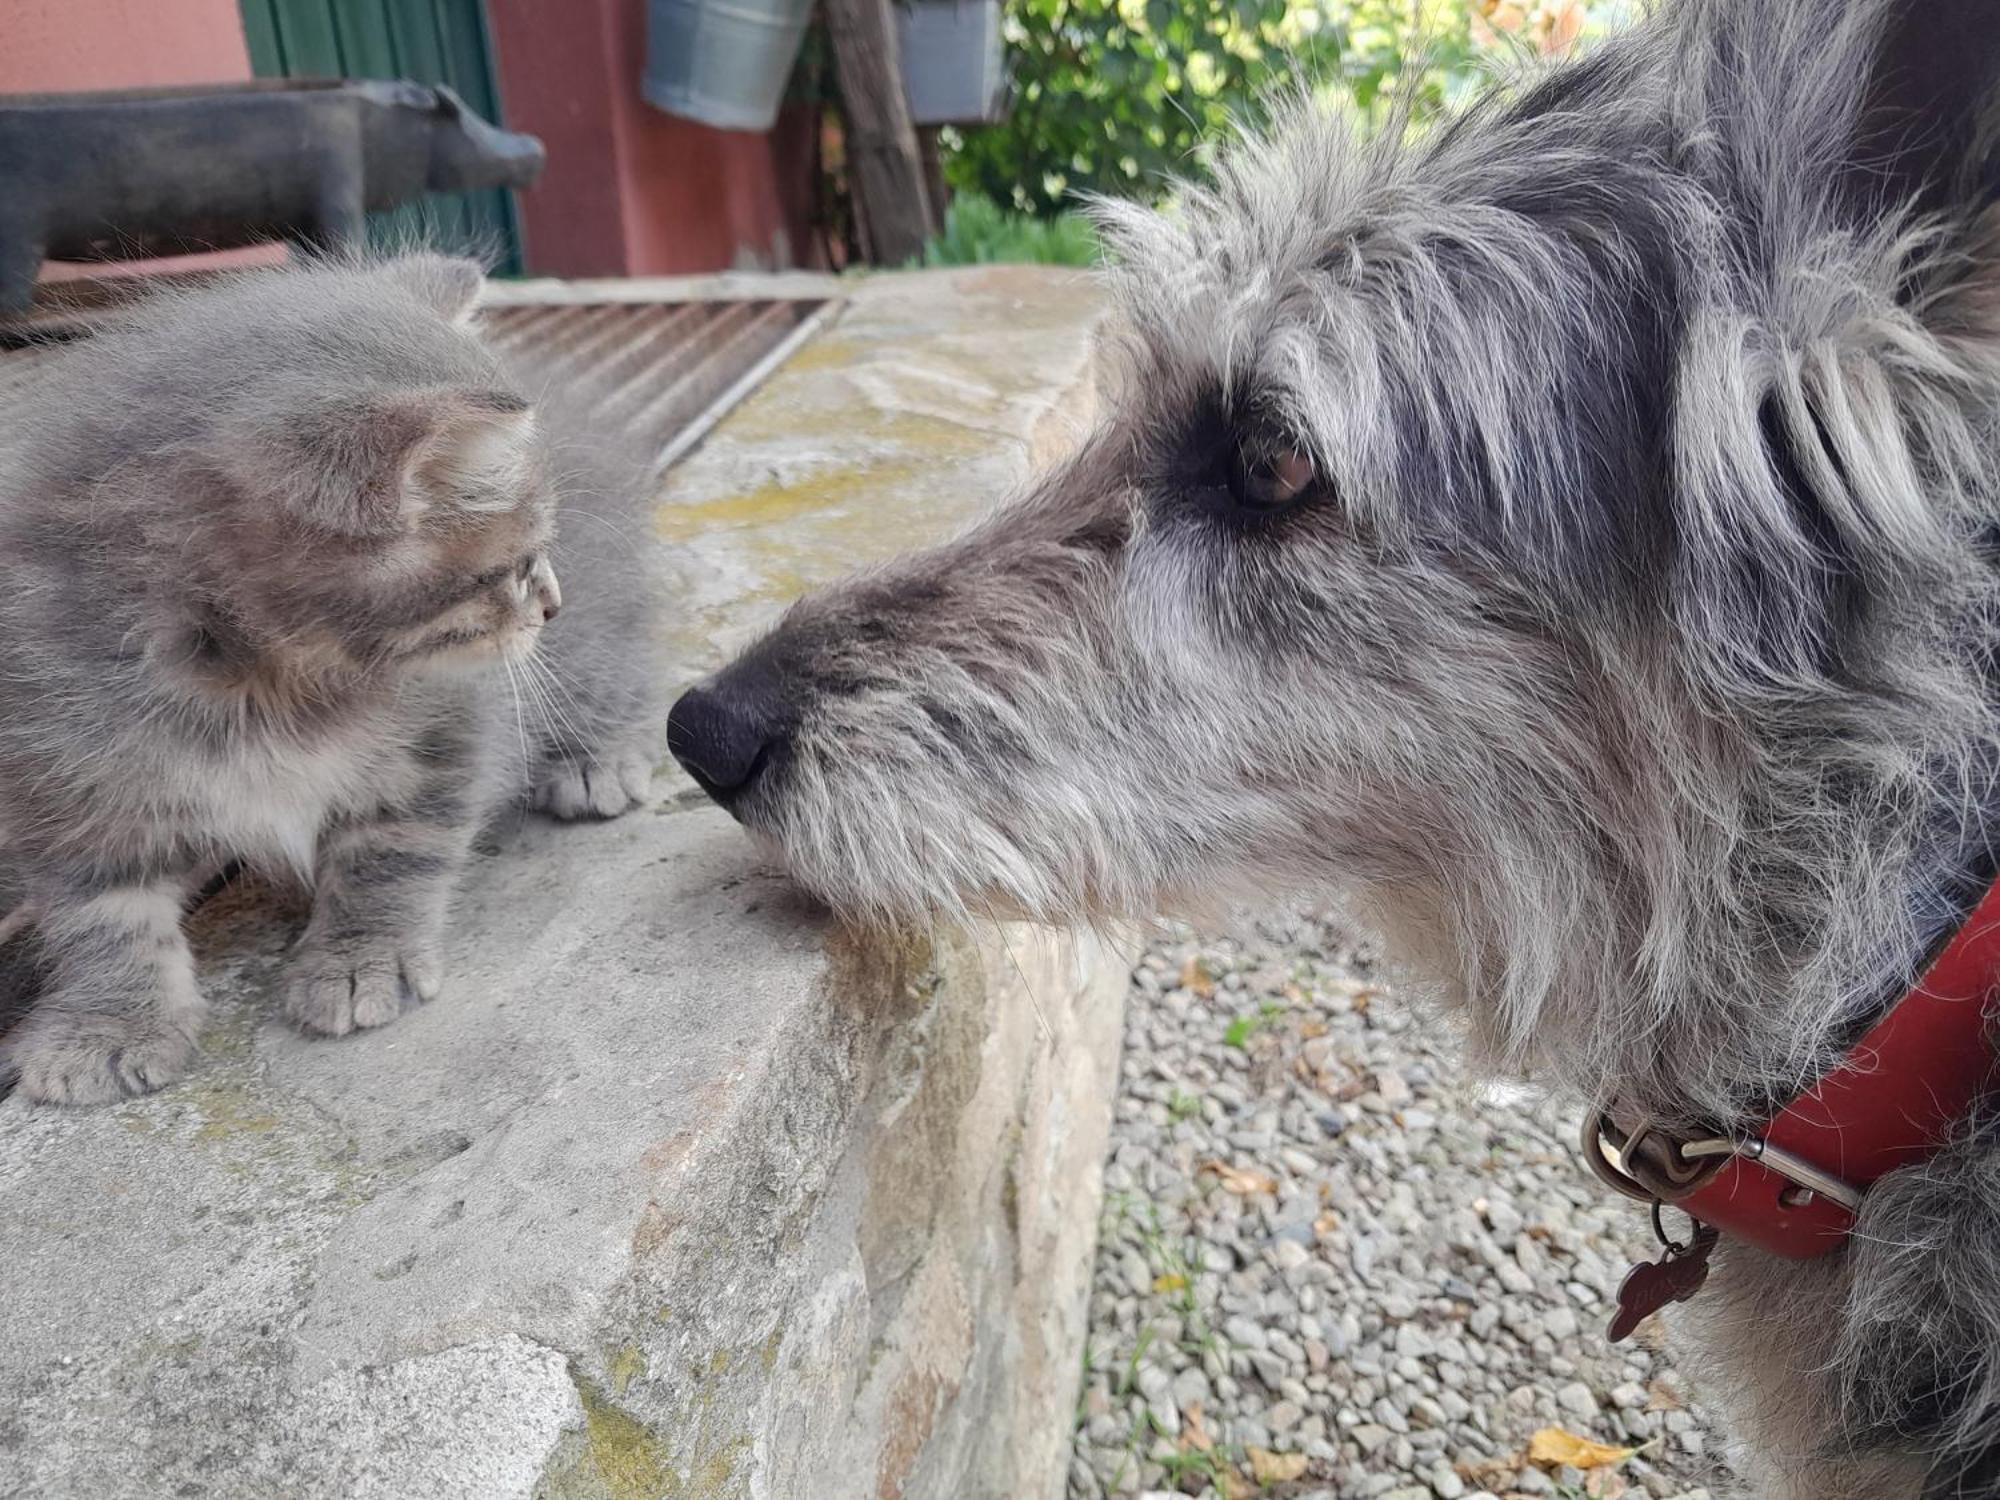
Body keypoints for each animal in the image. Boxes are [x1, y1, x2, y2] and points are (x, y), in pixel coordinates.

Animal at [0, 256, 672, 1104]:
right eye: (515, 567)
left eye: (539, 555)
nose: (552, 601)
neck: (263, 686)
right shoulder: (62, 764)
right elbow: (98, 912)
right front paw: (106, 1022)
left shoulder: (446, 729)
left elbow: (392, 850)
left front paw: (361, 957)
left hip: (592, 640)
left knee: (622, 664)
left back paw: (598, 759)